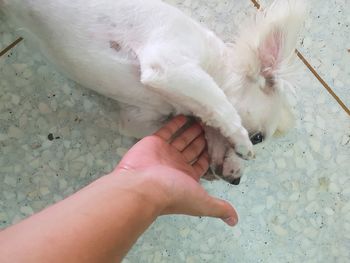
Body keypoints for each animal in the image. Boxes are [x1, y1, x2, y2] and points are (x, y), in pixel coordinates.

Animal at [1, 0, 304, 185]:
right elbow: (219, 103)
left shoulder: (137, 117)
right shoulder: (169, 66)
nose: (237, 180)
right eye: (258, 138)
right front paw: (239, 140)